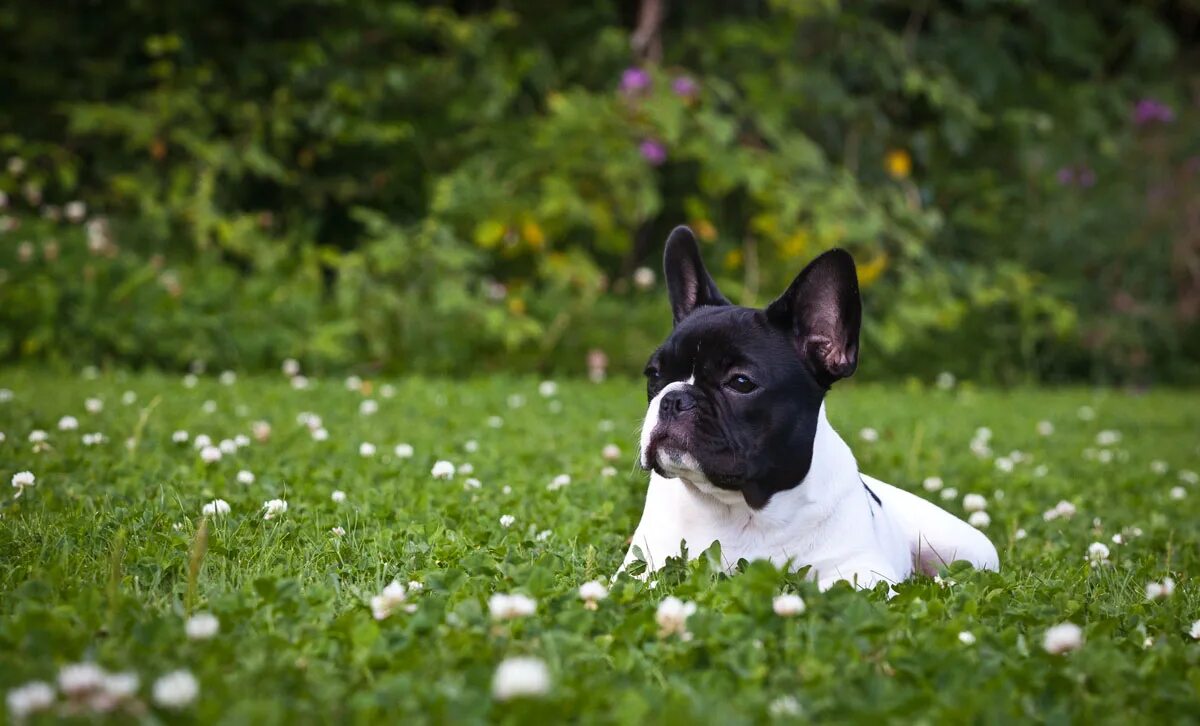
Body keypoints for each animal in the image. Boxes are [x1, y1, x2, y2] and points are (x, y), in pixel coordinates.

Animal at [624, 226, 998, 588]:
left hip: (970, 550)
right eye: (654, 375)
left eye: (741, 382)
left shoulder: (862, 570)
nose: (674, 398)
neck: (740, 507)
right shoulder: (643, 568)